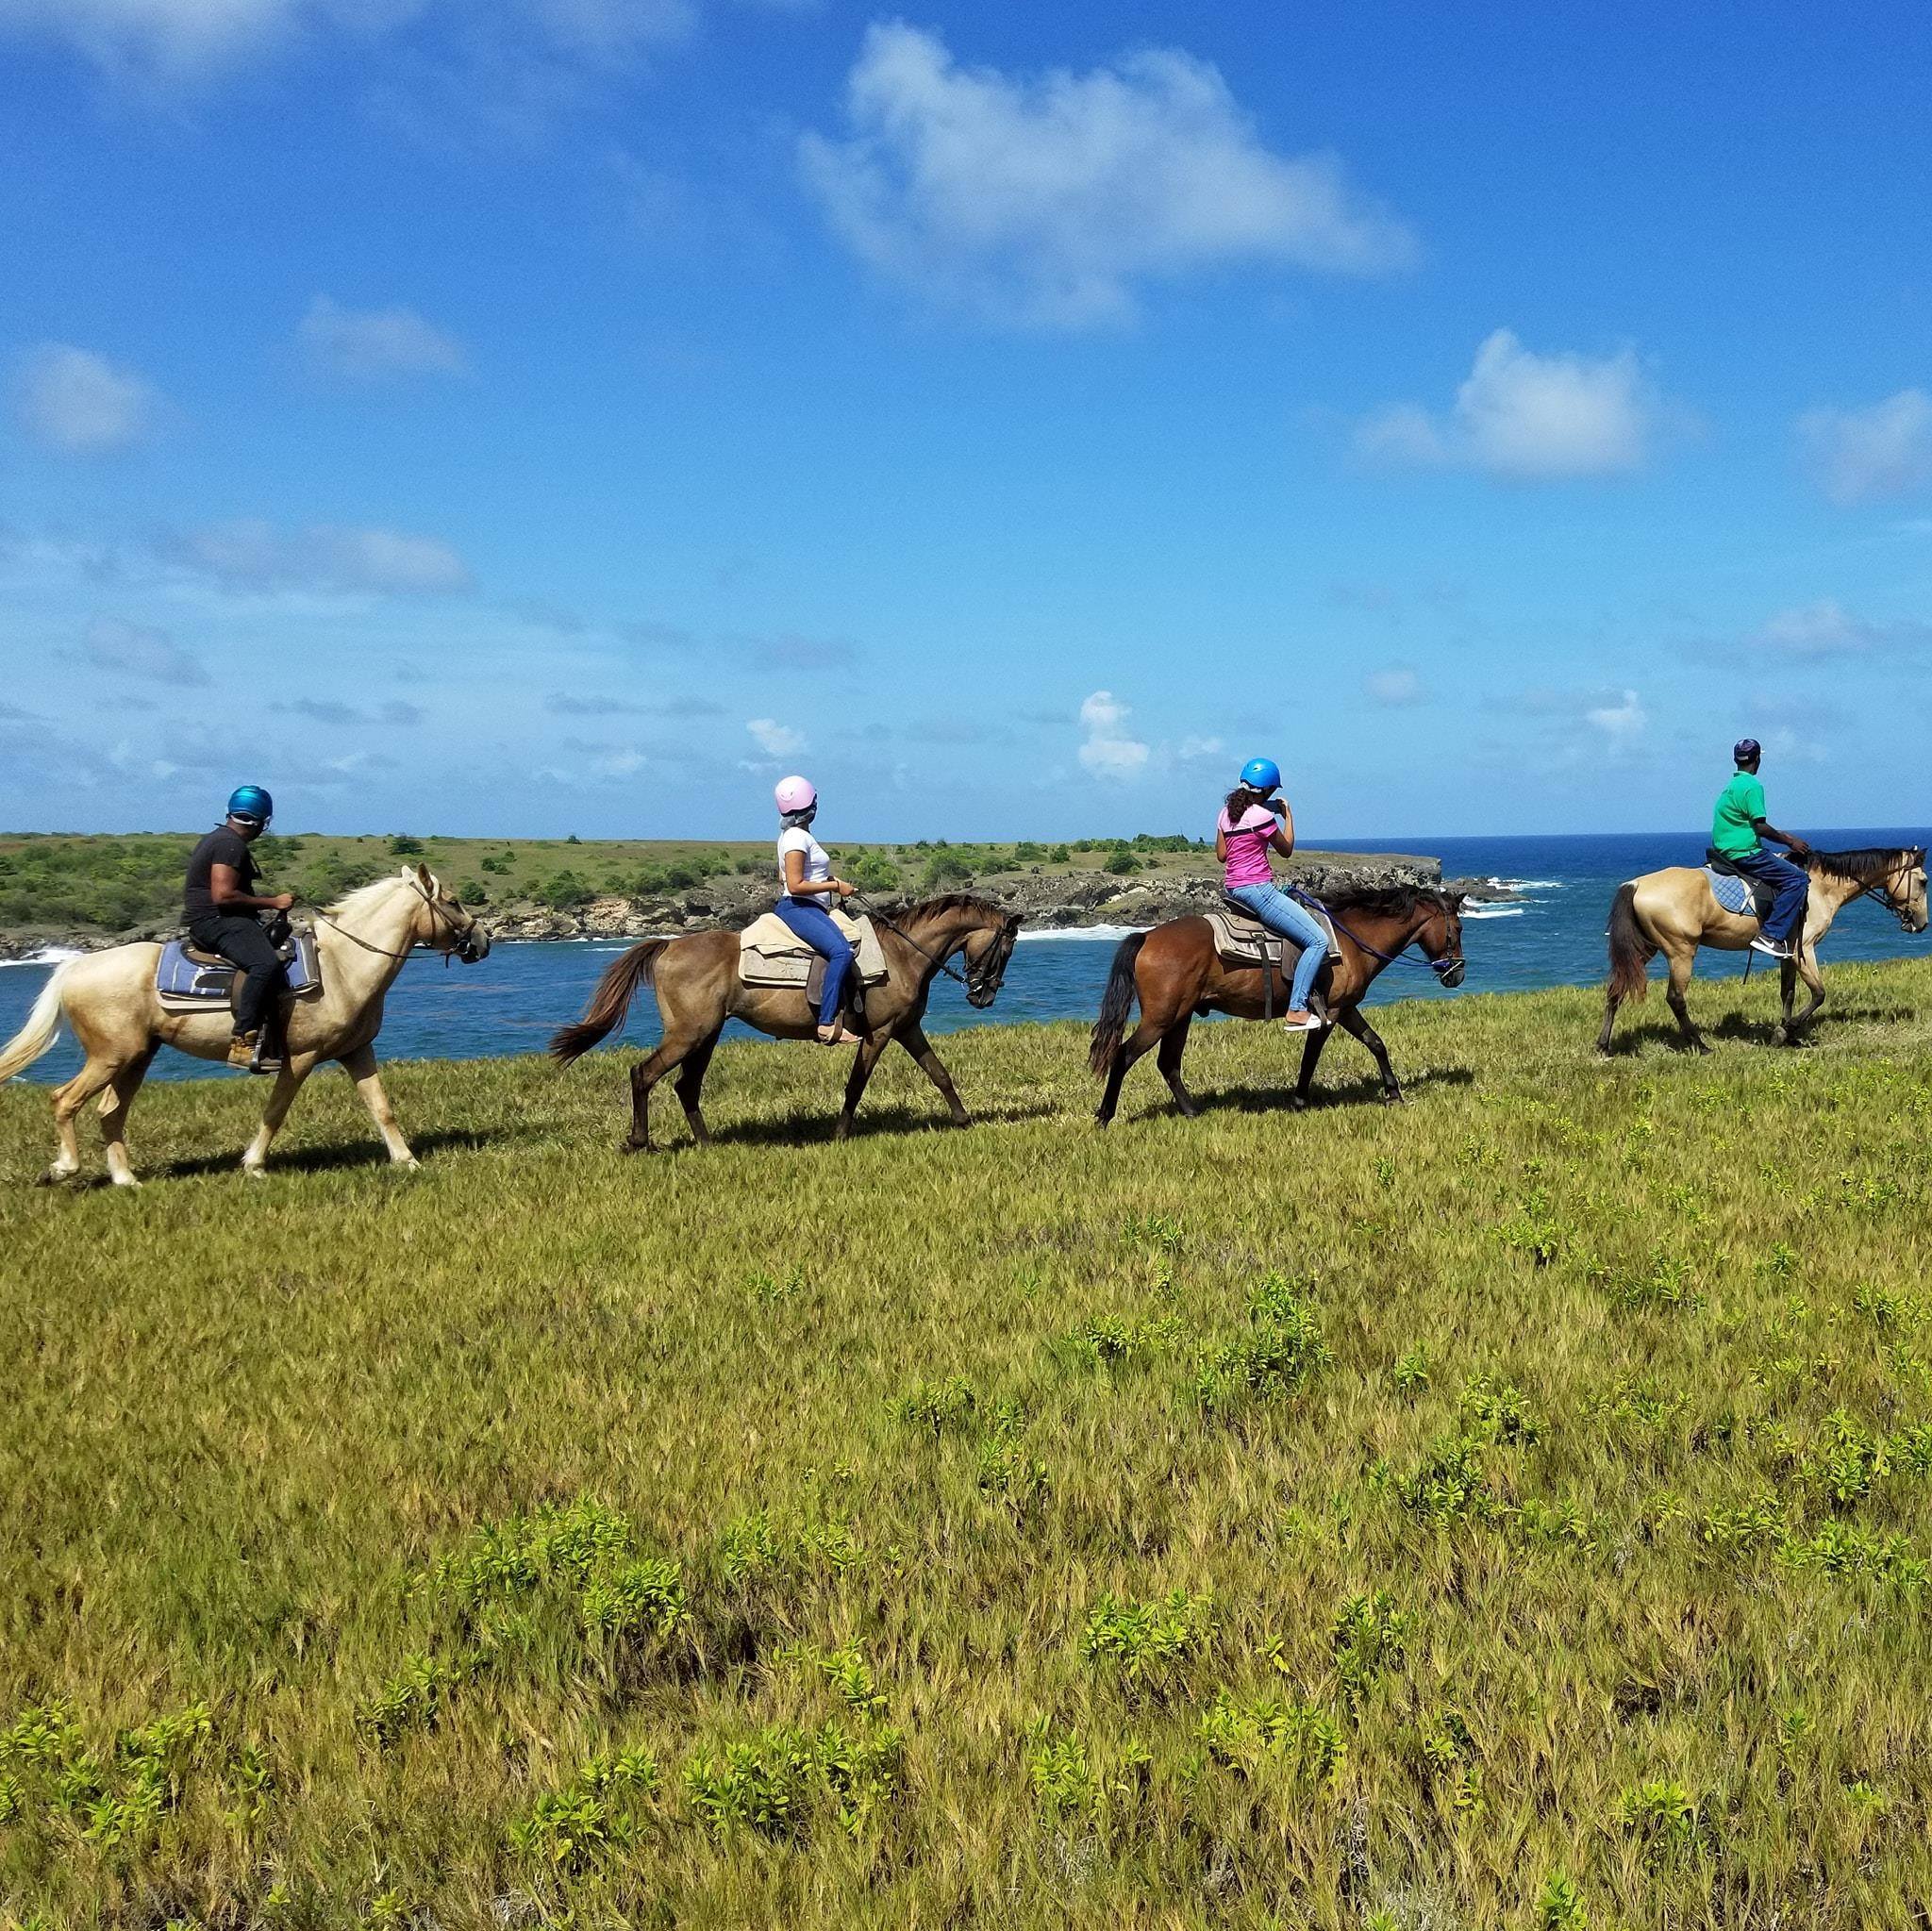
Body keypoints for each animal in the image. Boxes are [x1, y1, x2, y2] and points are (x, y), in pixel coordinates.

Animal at [2, 869, 483, 1181]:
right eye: (452, 901)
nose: (481, 940)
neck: (342, 966)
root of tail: (74, 968)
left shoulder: (356, 1051)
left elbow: (382, 1108)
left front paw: (407, 1161)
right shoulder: (300, 1058)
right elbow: (275, 1110)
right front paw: (253, 1165)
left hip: (136, 1057)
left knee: (110, 1112)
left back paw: (126, 1180)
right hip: (110, 1056)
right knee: (64, 1100)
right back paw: (64, 1167)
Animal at [548, 888, 1020, 1142]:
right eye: (1006, 950)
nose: (983, 997)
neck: (903, 954)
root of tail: (668, 945)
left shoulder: (907, 1028)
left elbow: (940, 1074)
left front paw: (963, 1120)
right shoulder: (881, 1032)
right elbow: (856, 1085)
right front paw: (839, 1134)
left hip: (706, 1035)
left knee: (686, 1086)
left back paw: (707, 1143)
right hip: (689, 1034)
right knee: (644, 1075)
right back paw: (640, 1141)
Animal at [1090, 884, 1460, 1127]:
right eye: (1457, 928)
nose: (1457, 974)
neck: (1351, 940)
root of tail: (1147, 937)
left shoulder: (1346, 1009)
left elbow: (1376, 1043)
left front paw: (1393, 1092)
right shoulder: (1330, 1013)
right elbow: (1310, 1058)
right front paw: (1298, 1100)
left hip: (1179, 1018)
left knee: (1168, 1064)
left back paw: (1193, 1113)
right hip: (1161, 1019)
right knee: (1123, 1056)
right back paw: (1105, 1116)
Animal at [1599, 845, 1932, 1057]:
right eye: (1923, 881)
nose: (1921, 923)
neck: (1819, 886)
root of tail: (1636, 884)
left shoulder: (1787, 954)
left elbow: (1789, 993)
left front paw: (1788, 1034)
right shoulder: (1804, 950)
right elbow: (1819, 994)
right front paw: (1786, 1032)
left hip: (1645, 948)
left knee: (1616, 989)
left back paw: (1604, 1045)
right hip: (1680, 951)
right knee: (1675, 999)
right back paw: (1700, 1045)